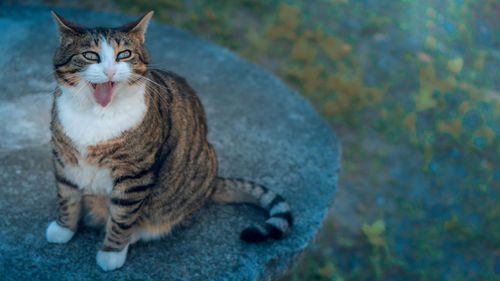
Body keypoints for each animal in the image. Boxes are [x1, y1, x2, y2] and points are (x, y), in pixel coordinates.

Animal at [46, 11, 292, 272]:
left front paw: (112, 253)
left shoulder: (134, 176)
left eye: (124, 54)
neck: (96, 116)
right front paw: (63, 229)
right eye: (90, 56)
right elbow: (67, 197)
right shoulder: (64, 159)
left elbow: (122, 218)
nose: (110, 72)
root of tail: (213, 182)